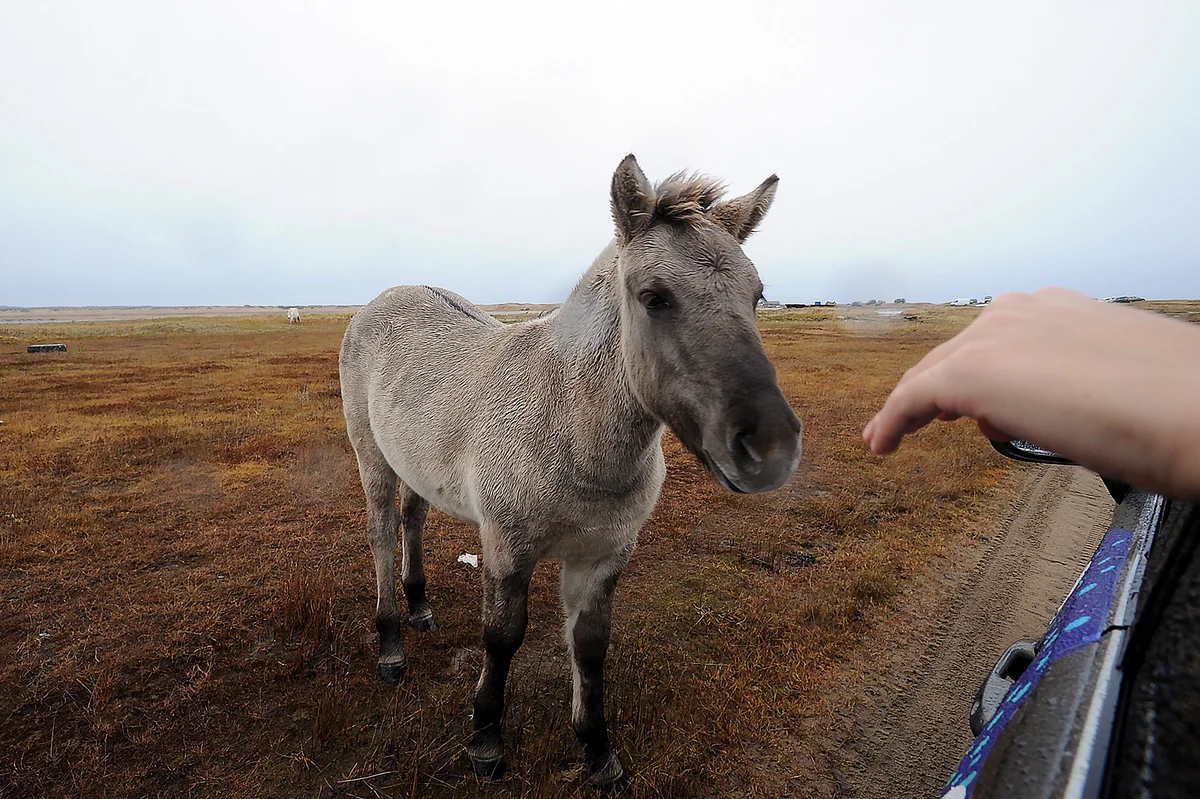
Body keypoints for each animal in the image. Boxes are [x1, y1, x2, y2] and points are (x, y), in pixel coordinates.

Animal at [340, 153, 806, 782]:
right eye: (654, 296)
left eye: (756, 295)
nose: (770, 446)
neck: (571, 432)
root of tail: (383, 299)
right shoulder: (508, 548)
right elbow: (502, 637)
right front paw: (486, 739)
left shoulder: (604, 555)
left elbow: (589, 645)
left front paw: (598, 750)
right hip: (372, 459)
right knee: (384, 534)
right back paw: (391, 644)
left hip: (414, 464)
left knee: (413, 519)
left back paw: (419, 608)